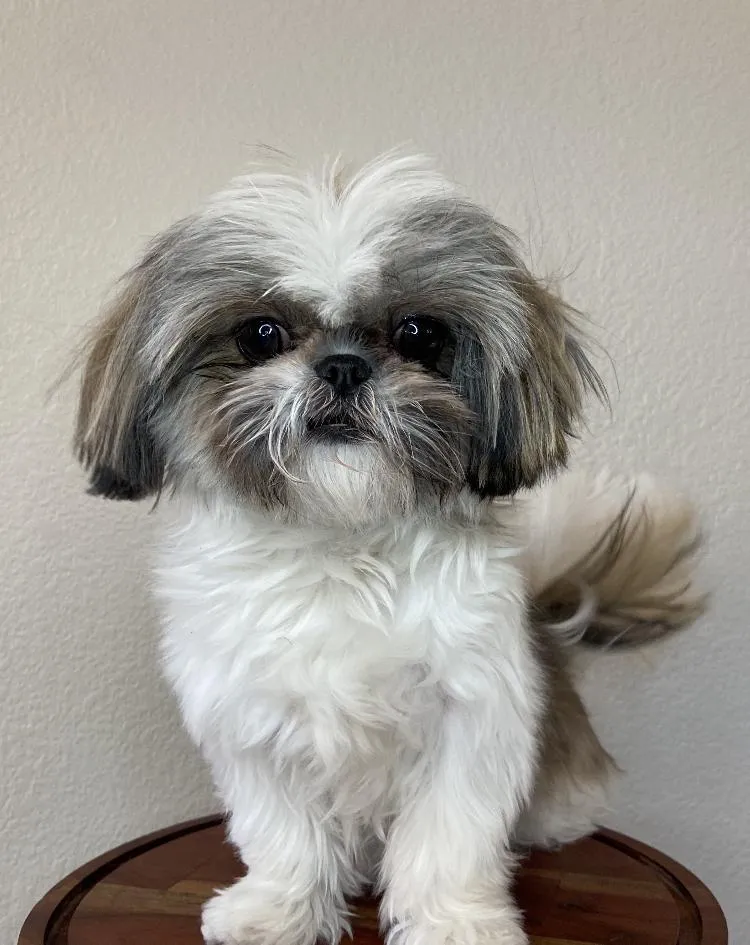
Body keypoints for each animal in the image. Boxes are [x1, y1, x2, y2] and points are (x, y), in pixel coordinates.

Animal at [72, 153, 704, 944]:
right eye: (260, 334)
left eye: (418, 334)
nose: (343, 366)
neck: (342, 545)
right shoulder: (249, 721)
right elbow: (284, 834)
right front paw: (276, 909)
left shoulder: (472, 715)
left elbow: (449, 838)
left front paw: (454, 922)